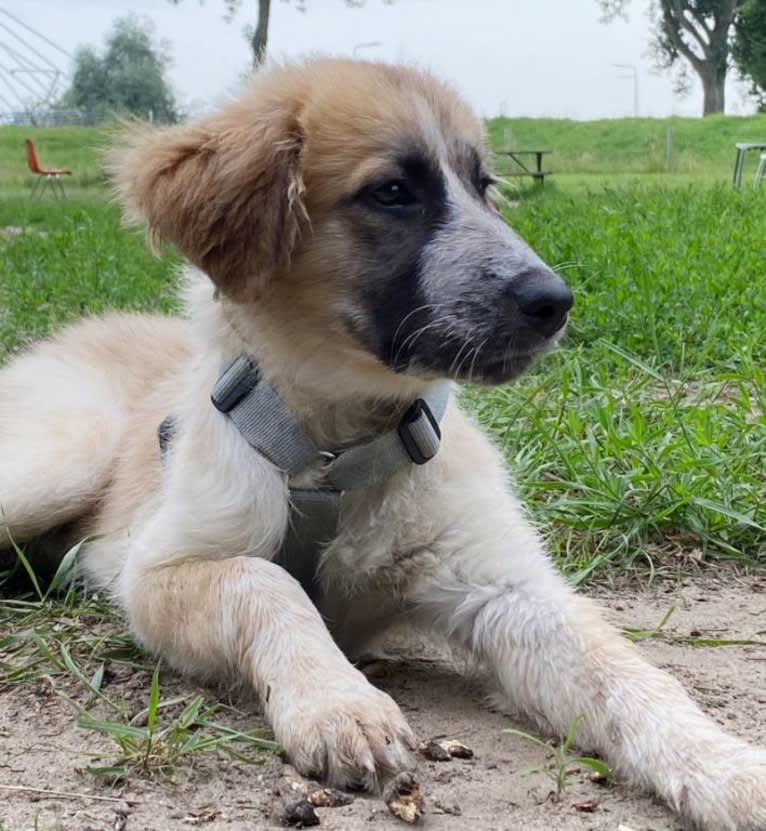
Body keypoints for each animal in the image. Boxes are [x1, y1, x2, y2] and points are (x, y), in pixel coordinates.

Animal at [1, 58, 766, 824]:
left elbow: (628, 673)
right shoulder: (160, 568)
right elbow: (266, 581)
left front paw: (724, 764)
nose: (554, 302)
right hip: (64, 456)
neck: (336, 453)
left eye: (485, 185)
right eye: (393, 193)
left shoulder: (505, 587)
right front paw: (338, 703)